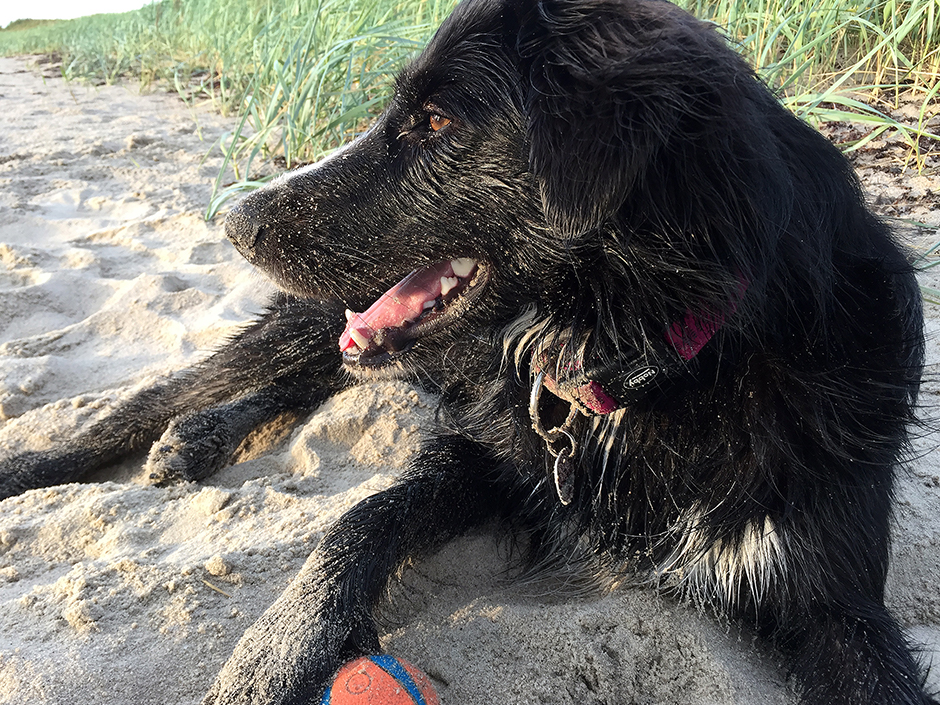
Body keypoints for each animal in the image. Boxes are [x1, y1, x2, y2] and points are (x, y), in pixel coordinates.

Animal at [1, 0, 940, 700]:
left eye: (437, 119)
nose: (231, 220)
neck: (649, 367)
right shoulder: (481, 452)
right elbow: (358, 516)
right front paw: (273, 653)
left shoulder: (839, 601)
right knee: (154, 398)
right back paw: (56, 461)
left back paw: (197, 438)